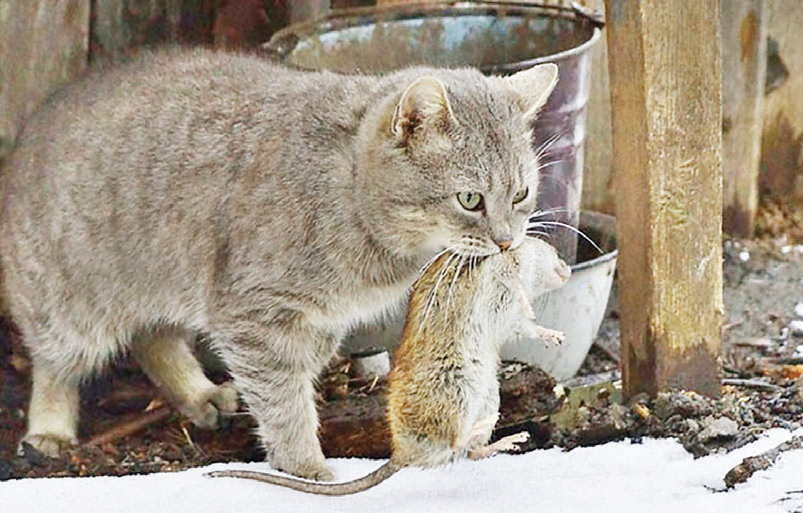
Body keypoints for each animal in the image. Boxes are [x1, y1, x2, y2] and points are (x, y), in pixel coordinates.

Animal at [0, 48, 556, 480]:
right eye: (470, 199)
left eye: (521, 193)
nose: (507, 241)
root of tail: (29, 132)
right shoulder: (252, 317)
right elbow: (284, 402)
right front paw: (305, 466)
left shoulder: (319, 320)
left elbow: (296, 383)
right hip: (69, 305)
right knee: (57, 364)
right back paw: (48, 430)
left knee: (154, 337)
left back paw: (199, 393)